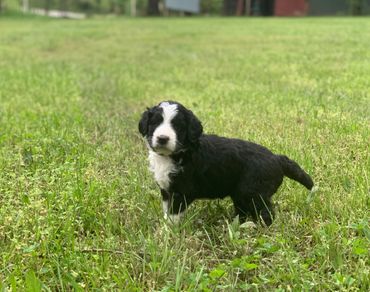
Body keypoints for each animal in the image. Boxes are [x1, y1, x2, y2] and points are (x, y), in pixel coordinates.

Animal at [137, 101, 314, 226]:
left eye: (178, 126)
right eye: (154, 123)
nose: (162, 138)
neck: (173, 155)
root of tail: (276, 158)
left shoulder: (182, 192)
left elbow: (173, 216)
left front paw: (168, 235)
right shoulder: (166, 190)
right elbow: (166, 212)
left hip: (253, 192)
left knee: (266, 213)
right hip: (241, 193)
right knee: (243, 212)